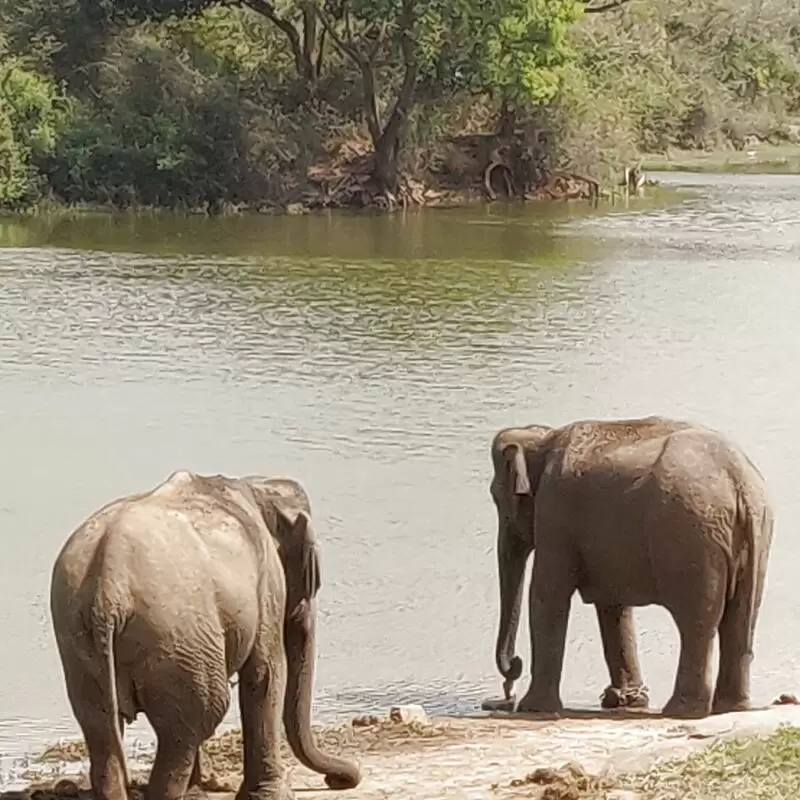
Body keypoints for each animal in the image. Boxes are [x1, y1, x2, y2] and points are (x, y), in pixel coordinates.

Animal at [49, 468, 360, 800]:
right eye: (313, 575)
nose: (339, 780)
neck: (256, 485)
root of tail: (109, 586)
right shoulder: (267, 586)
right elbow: (266, 673)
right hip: (176, 635)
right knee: (193, 721)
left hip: (80, 639)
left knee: (101, 729)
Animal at [494, 418, 776, 720]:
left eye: (496, 497)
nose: (512, 675)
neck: (543, 437)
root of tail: (739, 481)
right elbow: (612, 605)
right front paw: (626, 700)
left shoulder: (554, 513)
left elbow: (546, 595)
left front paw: (532, 708)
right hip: (754, 537)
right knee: (740, 620)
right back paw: (732, 707)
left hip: (692, 540)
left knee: (696, 623)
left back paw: (682, 710)